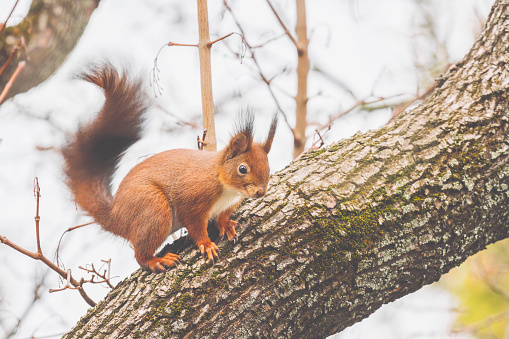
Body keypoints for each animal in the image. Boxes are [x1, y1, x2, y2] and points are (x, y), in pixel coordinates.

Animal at [64, 64, 278, 274]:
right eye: (243, 169)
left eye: (268, 165)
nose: (260, 192)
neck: (227, 188)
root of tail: (116, 216)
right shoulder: (194, 199)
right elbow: (195, 225)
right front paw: (206, 244)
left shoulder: (229, 204)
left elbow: (223, 216)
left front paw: (226, 225)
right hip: (153, 209)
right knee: (140, 255)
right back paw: (156, 260)